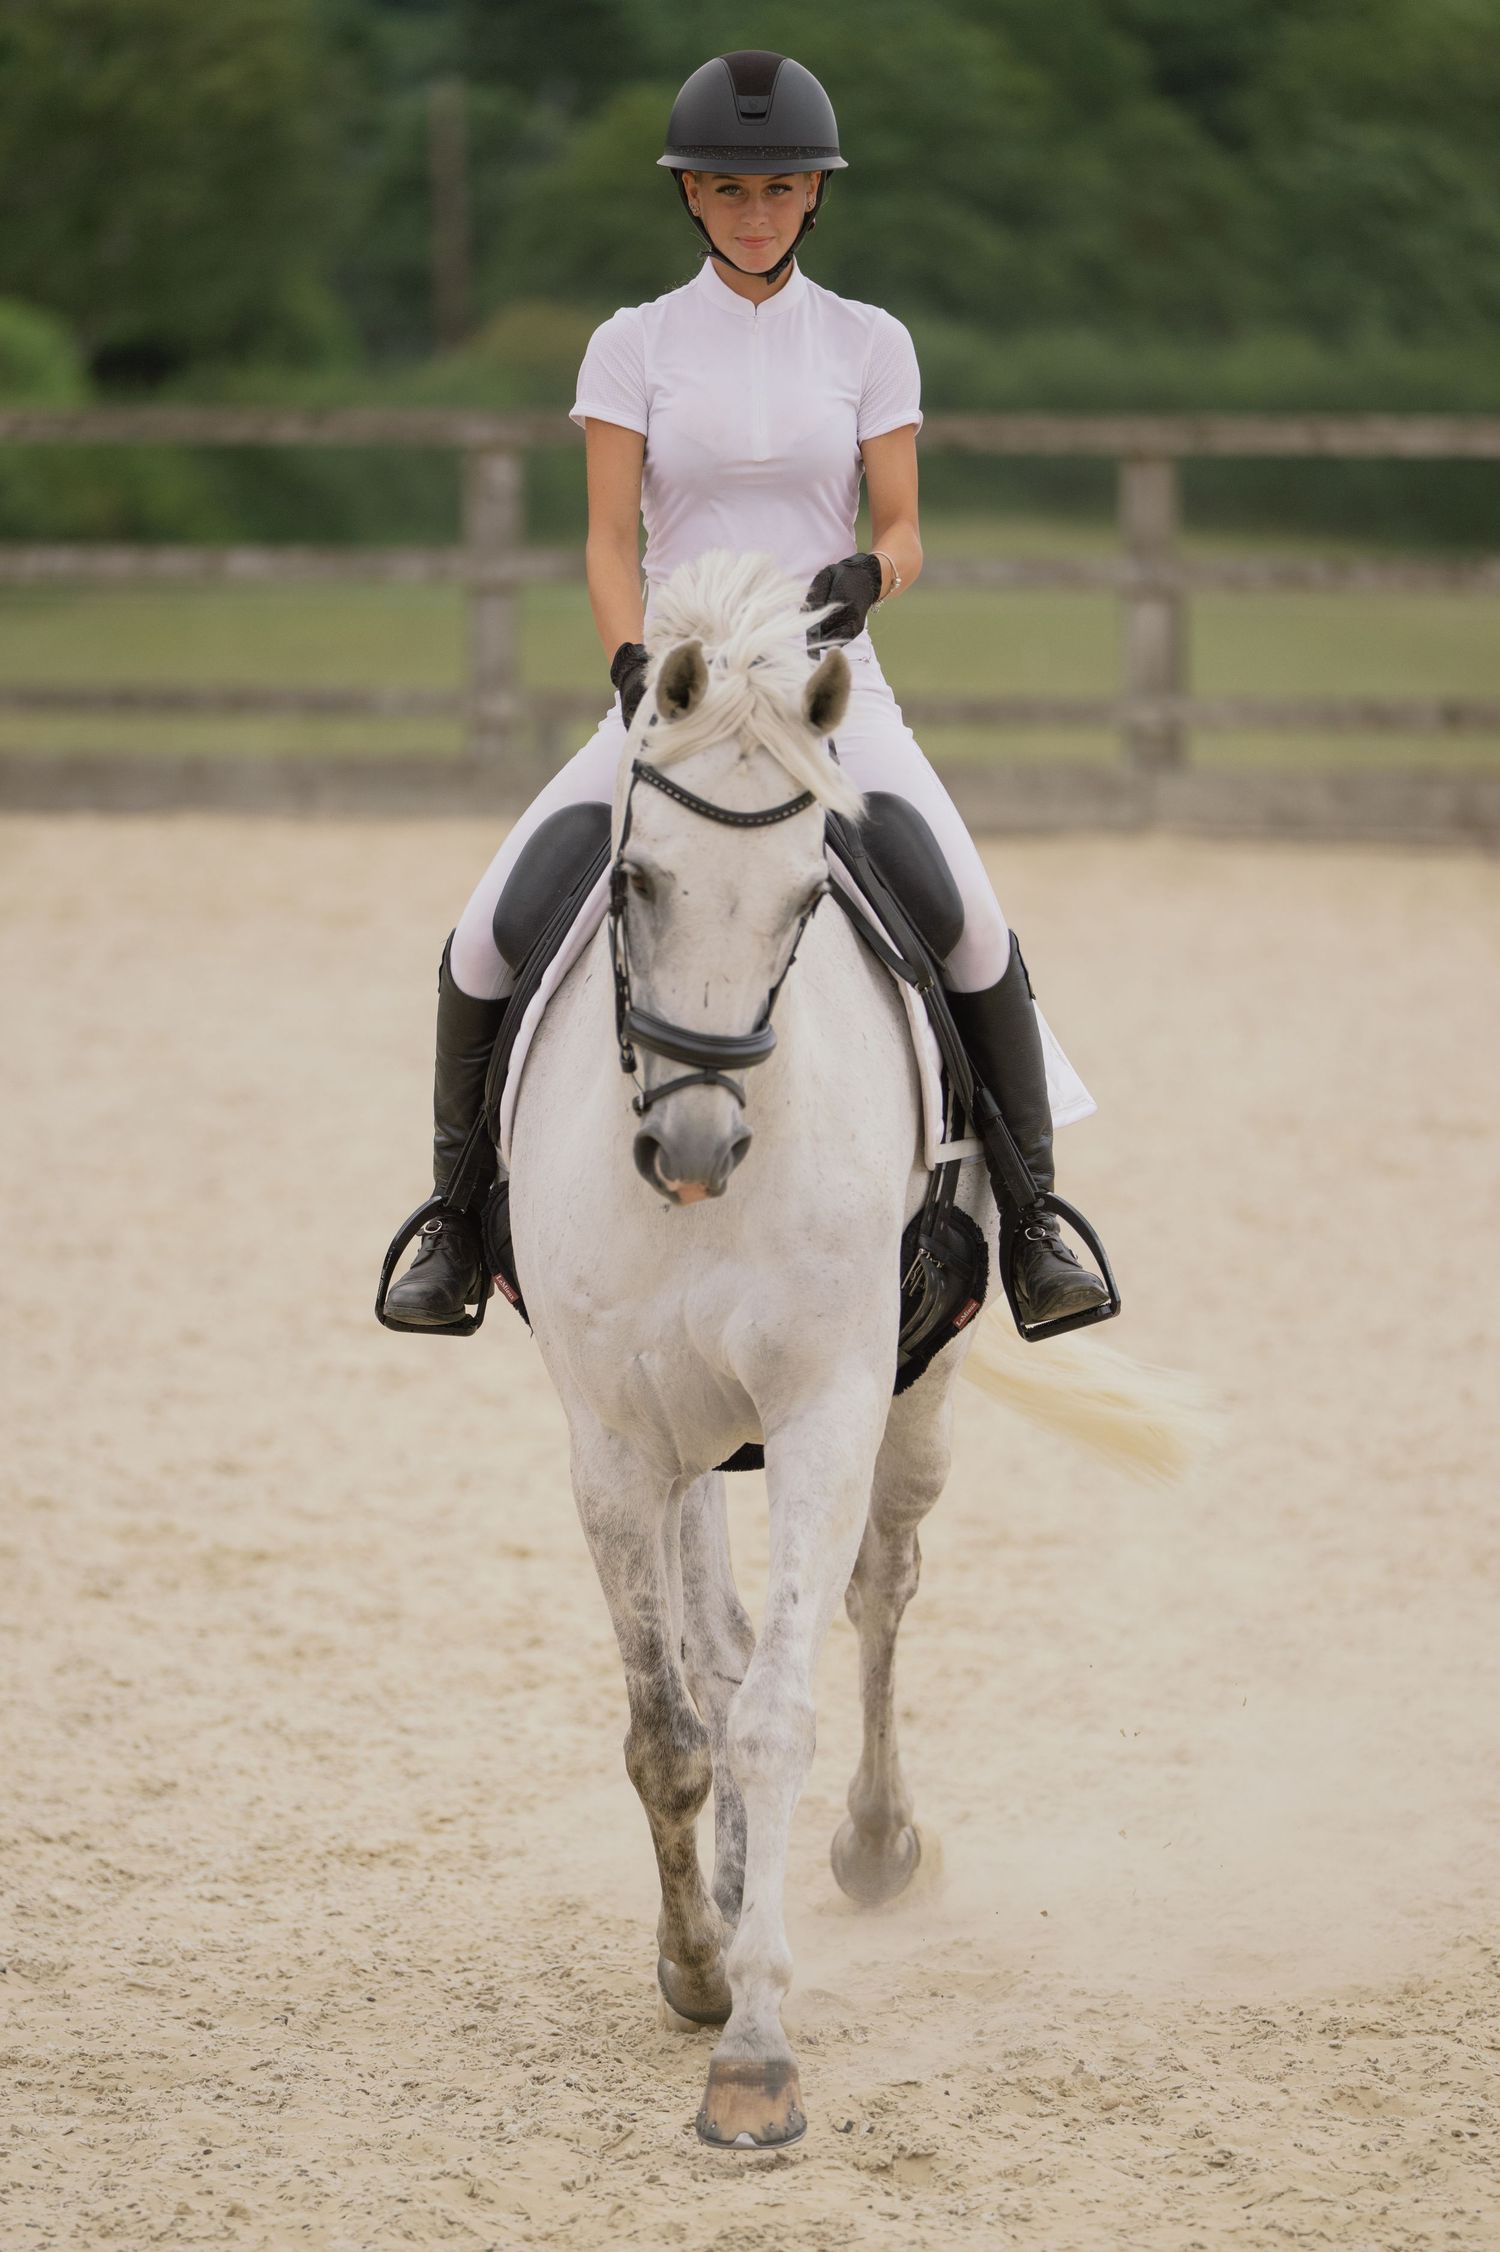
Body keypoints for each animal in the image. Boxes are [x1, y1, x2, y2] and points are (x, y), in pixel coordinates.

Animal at [507, 549, 1197, 2149]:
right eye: (634, 881)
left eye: (808, 897)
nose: (697, 1150)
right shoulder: (616, 1438)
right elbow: (670, 1725)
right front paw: (696, 1961)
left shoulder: (828, 1403)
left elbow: (777, 1712)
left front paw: (755, 2050)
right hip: (693, 1441)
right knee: (723, 1637)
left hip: (916, 1394)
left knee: (881, 1592)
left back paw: (877, 1844)